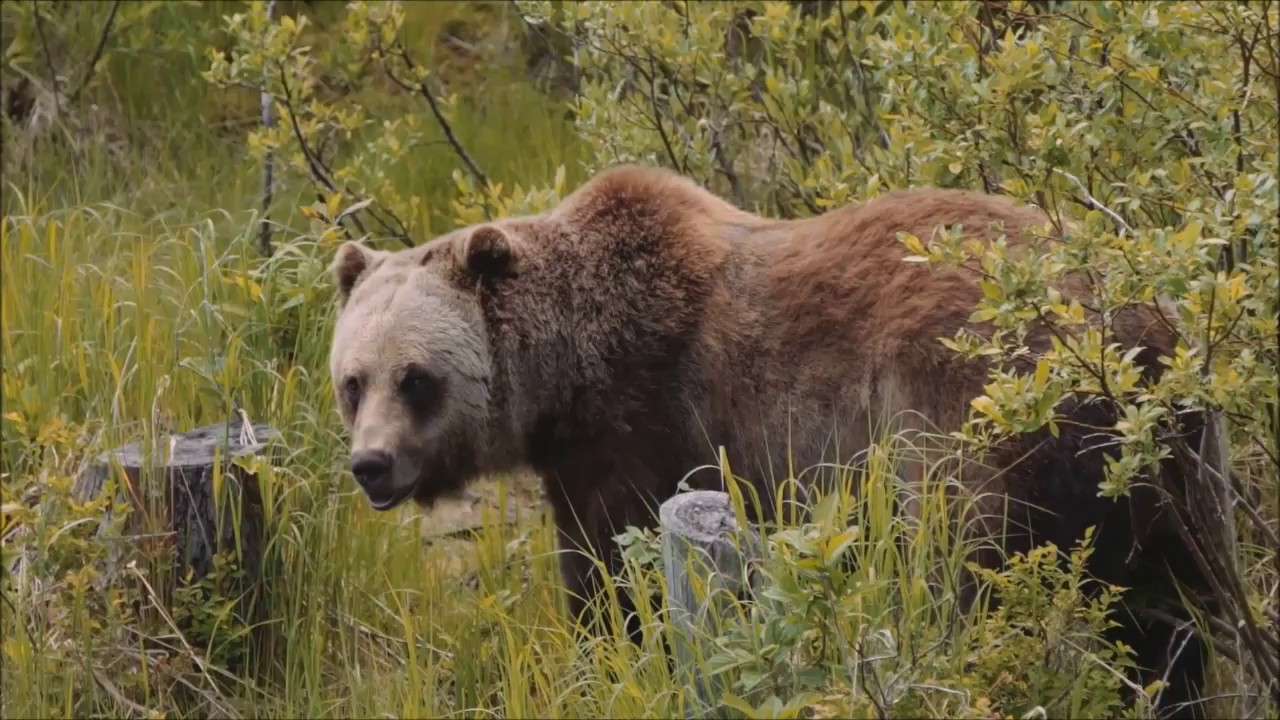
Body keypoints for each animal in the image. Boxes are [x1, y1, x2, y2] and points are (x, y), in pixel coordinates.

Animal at [327, 164, 1211, 718]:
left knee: (960, 563)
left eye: (416, 378)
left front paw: (601, 657)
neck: (564, 372)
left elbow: (611, 576)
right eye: (352, 381)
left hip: (971, 411)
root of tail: (1136, 322)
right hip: (1161, 457)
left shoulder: (635, 425)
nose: (371, 464)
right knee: (1171, 608)